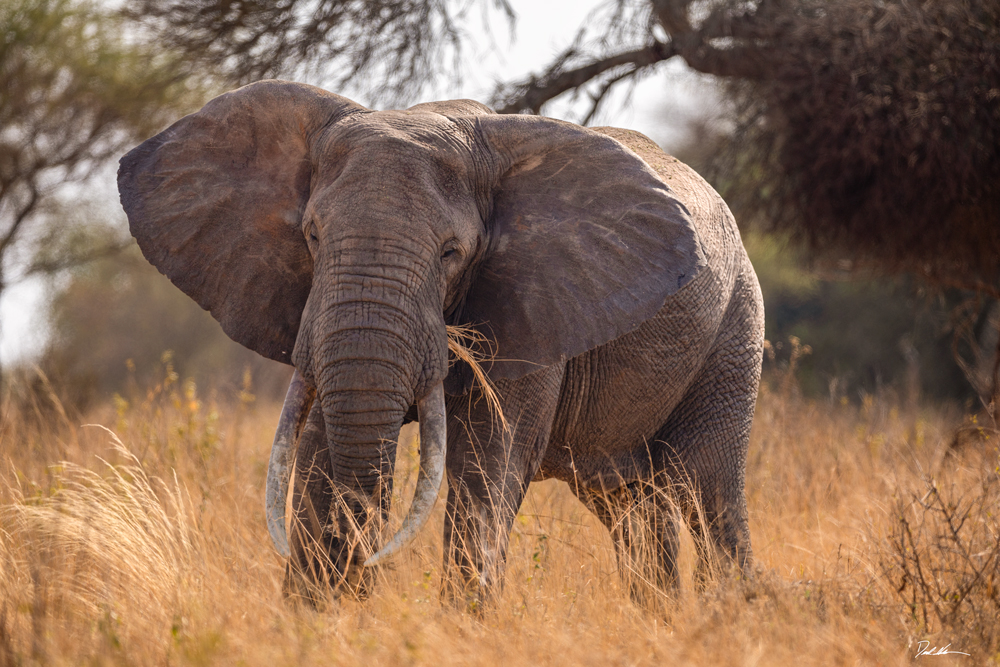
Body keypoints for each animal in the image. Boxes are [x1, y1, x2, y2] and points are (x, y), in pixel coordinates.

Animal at [117, 81, 760, 608]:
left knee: (708, 488)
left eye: (452, 253)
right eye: (313, 236)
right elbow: (322, 446)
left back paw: (729, 616)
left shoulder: (532, 306)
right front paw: (312, 616)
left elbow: (488, 460)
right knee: (633, 504)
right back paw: (664, 619)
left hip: (735, 327)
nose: (367, 576)